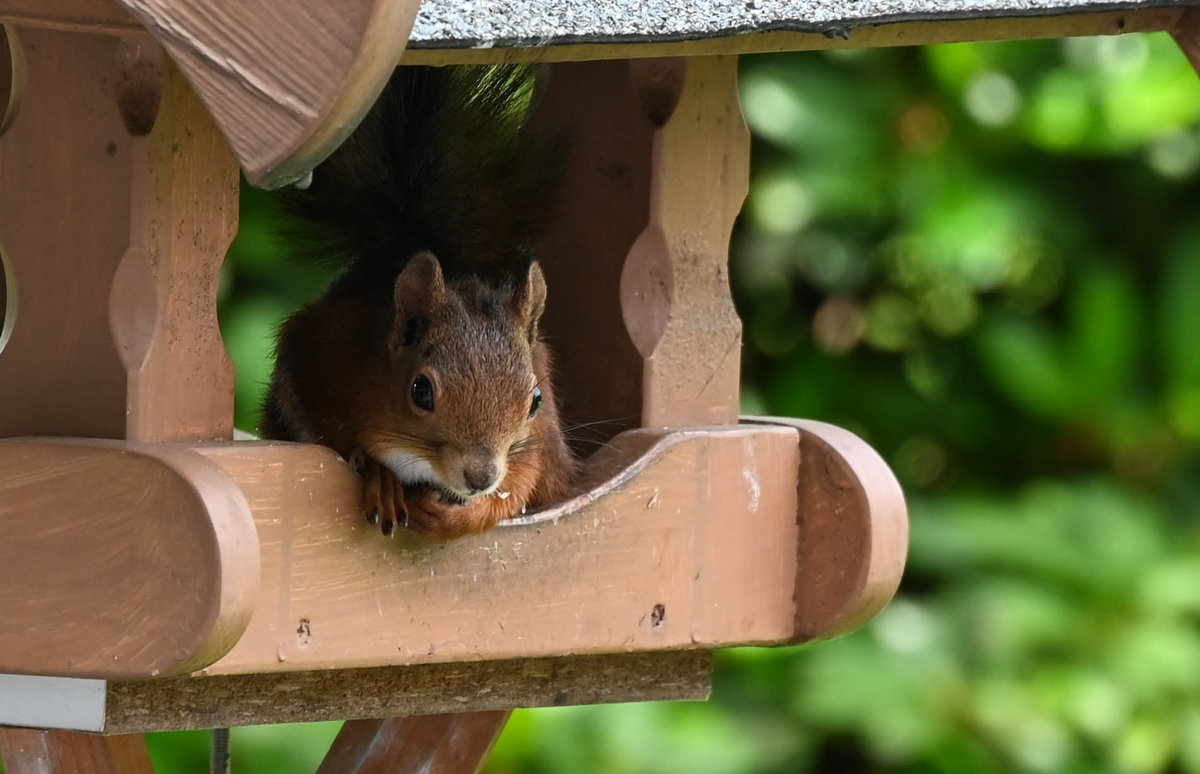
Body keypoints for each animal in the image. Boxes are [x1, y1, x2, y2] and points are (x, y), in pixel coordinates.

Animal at [260, 65, 576, 541]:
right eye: (421, 392)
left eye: (535, 400)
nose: (480, 476)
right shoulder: (321, 351)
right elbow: (318, 422)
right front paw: (379, 476)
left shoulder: (535, 442)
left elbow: (518, 486)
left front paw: (462, 514)